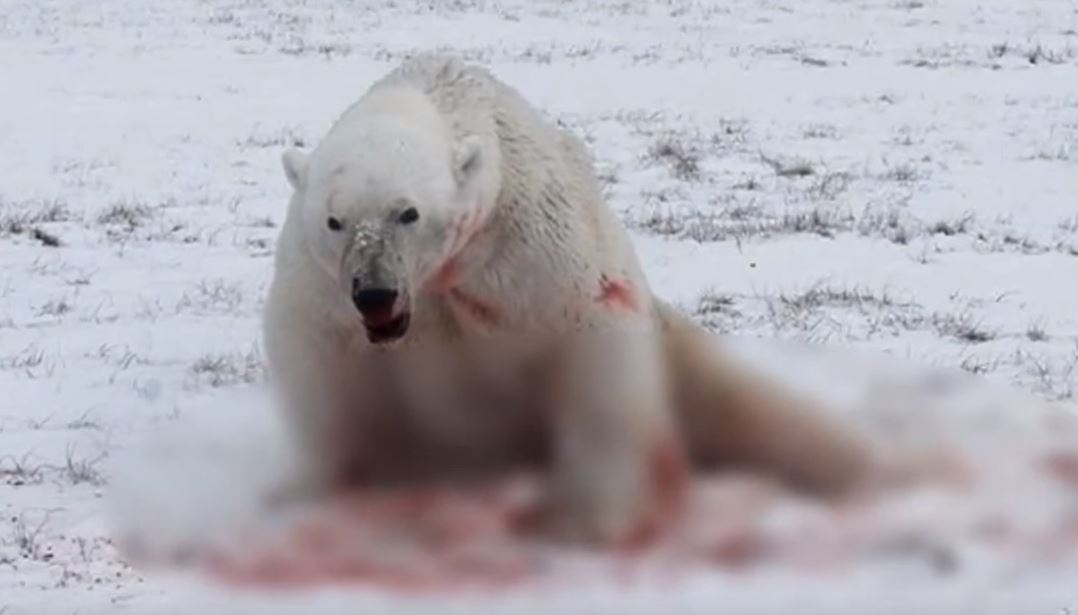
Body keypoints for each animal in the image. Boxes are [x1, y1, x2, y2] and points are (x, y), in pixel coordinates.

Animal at [263, 55, 892, 547]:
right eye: (335, 221)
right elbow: (329, 387)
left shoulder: (531, 254)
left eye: (408, 212)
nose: (375, 293)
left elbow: (592, 354)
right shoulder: (322, 295)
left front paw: (586, 522)